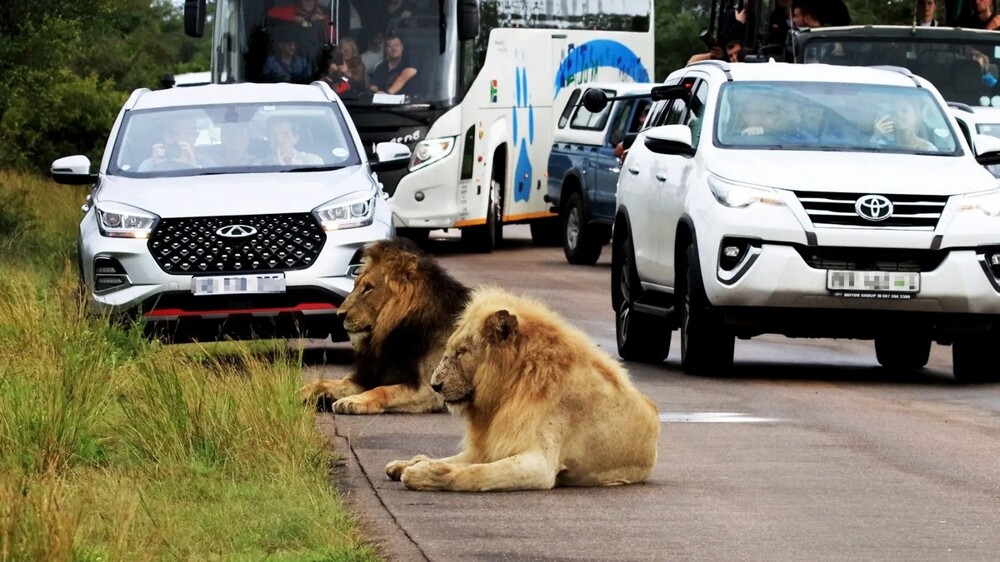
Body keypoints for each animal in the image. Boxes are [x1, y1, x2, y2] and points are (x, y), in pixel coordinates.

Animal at [298, 234, 470, 414]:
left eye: (368, 288)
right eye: (355, 285)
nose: (339, 315)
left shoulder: (430, 389)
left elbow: (381, 390)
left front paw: (350, 401)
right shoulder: (372, 375)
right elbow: (325, 382)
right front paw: (297, 394)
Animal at [382, 286, 656, 488]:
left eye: (461, 352)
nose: (435, 385)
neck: (509, 388)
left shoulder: (539, 464)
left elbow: (476, 473)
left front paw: (423, 475)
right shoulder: (493, 442)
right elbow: (465, 462)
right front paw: (410, 464)